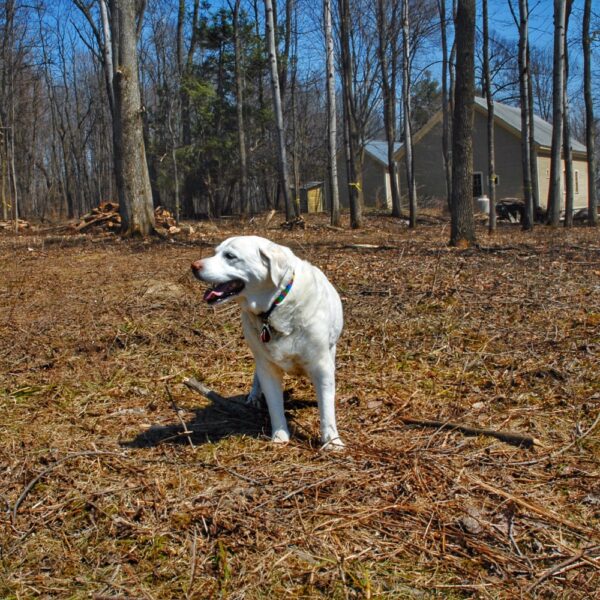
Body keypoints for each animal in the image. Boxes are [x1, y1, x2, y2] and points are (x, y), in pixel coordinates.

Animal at [192, 237, 342, 448]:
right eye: (215, 252)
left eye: (230, 256)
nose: (193, 266)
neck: (275, 306)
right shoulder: (267, 367)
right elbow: (274, 406)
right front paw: (279, 436)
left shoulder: (322, 365)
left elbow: (326, 407)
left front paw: (332, 441)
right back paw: (254, 395)